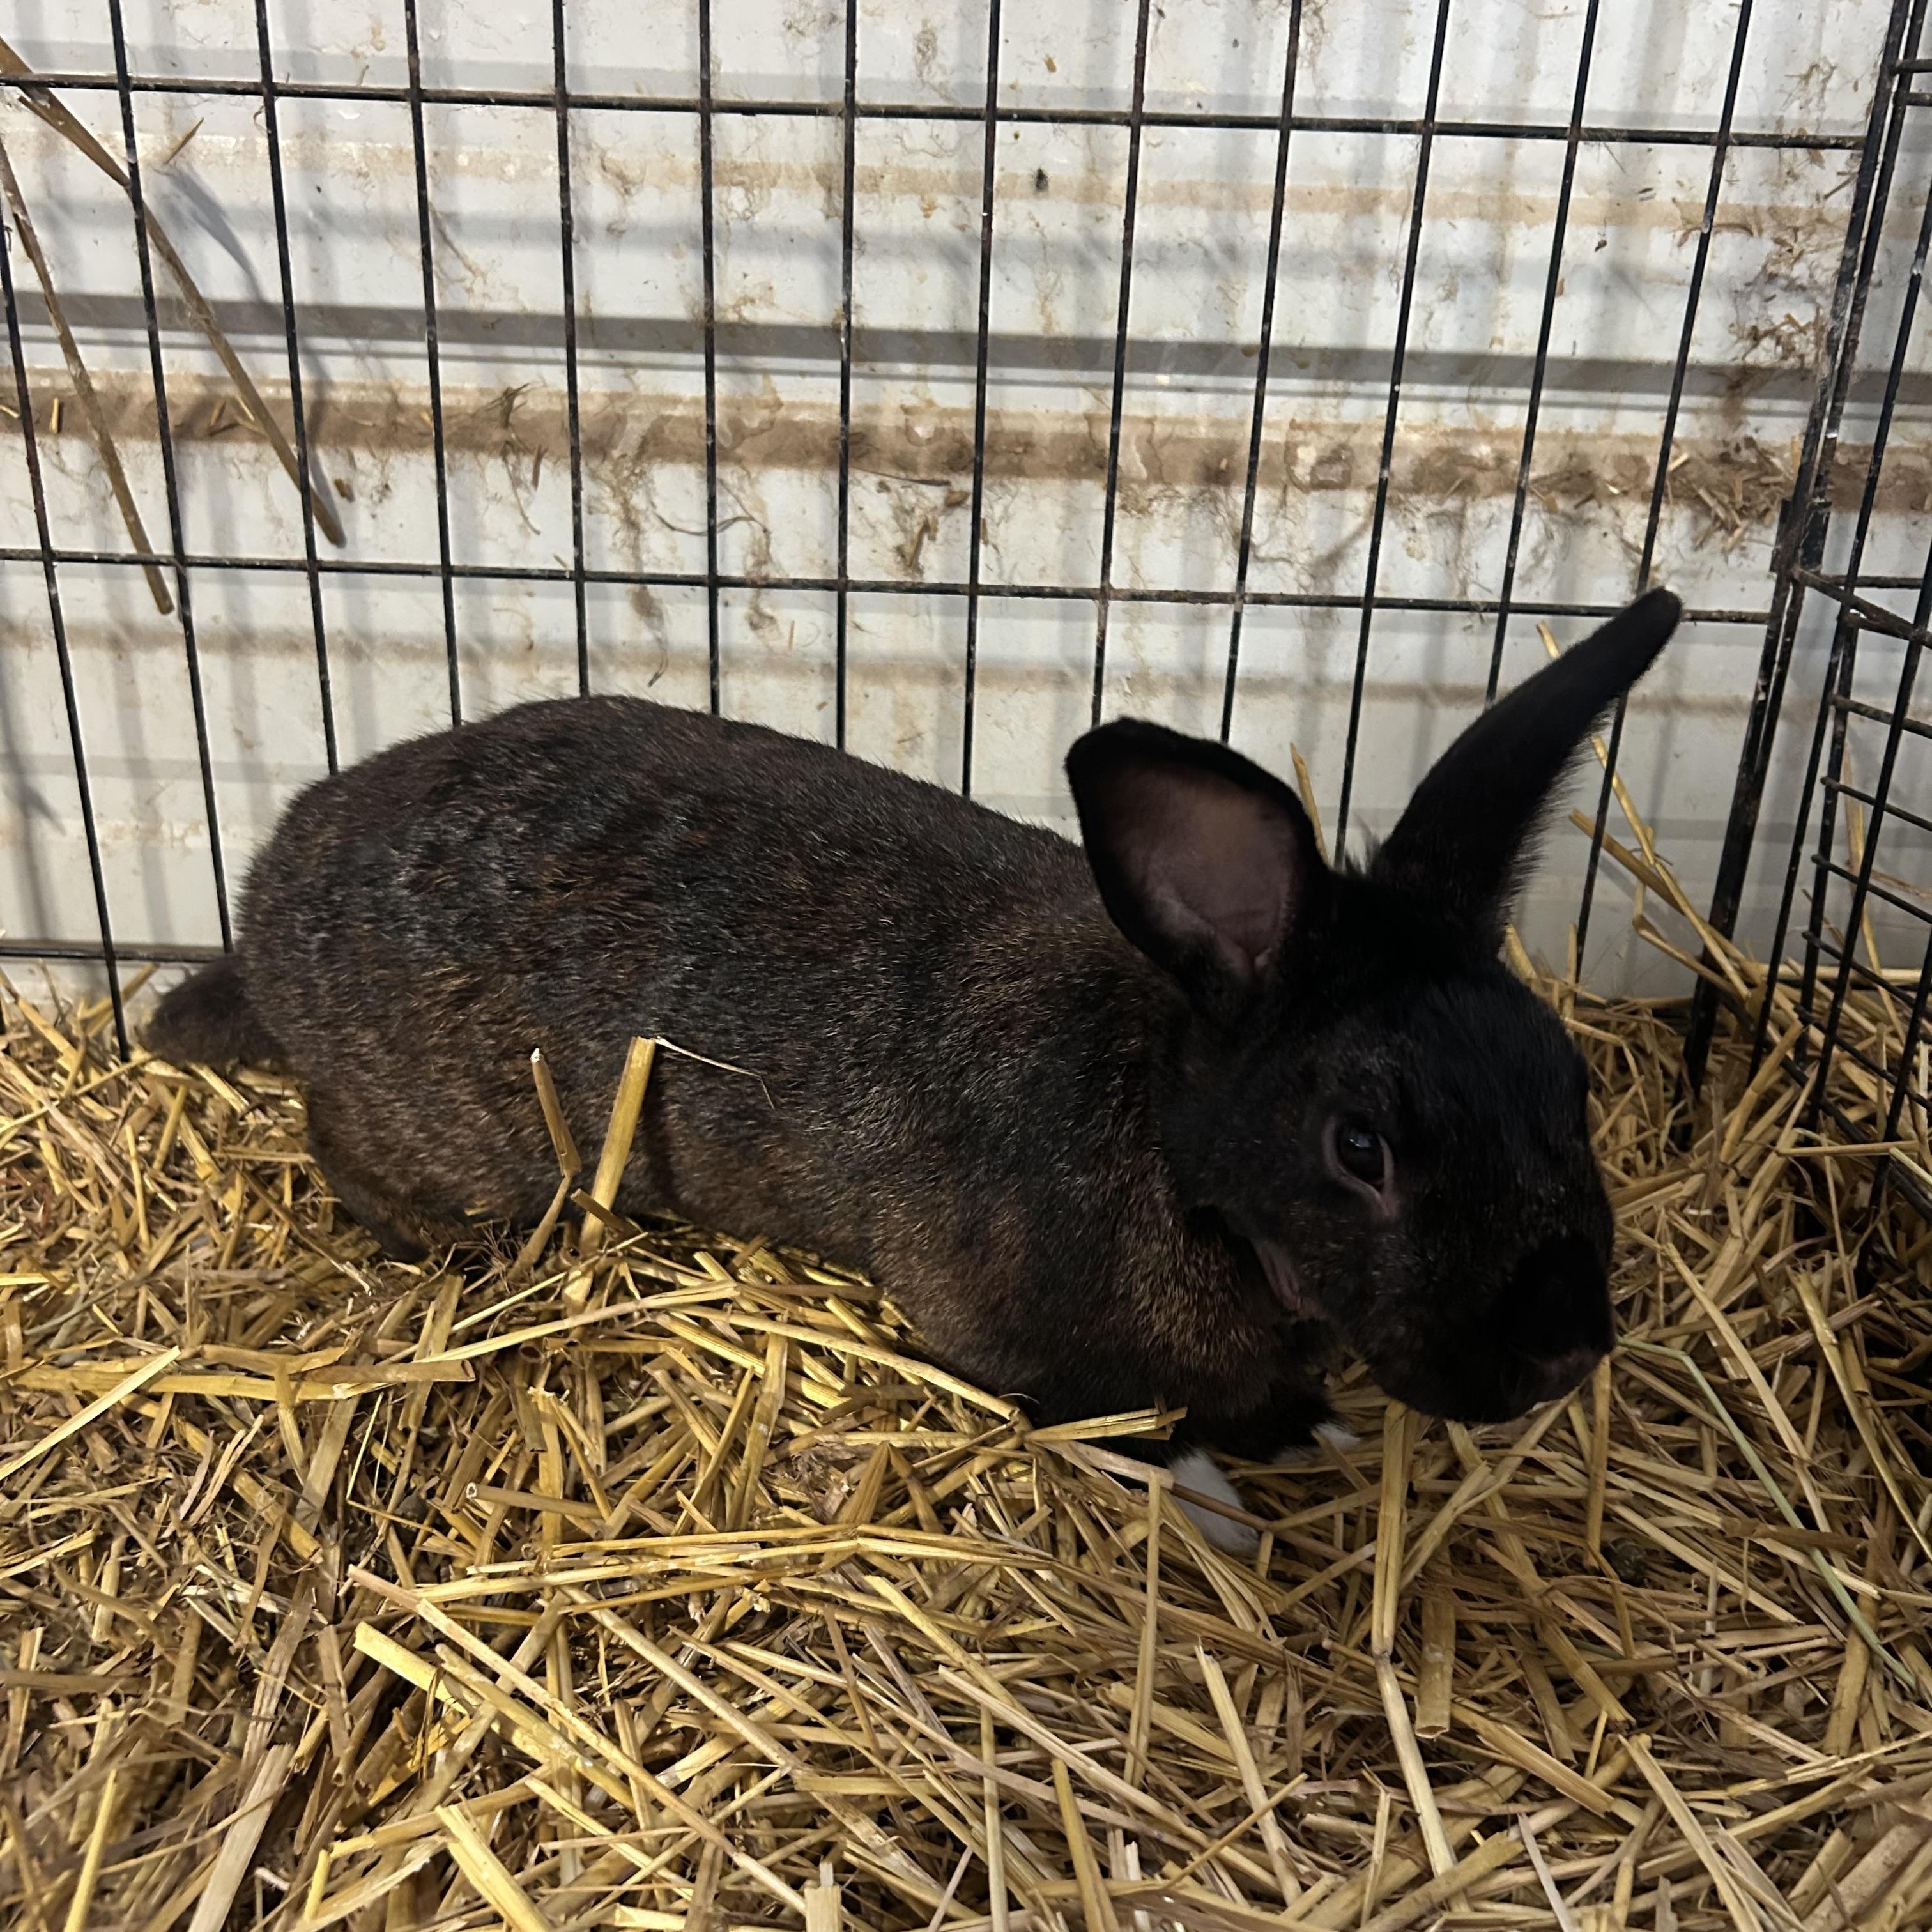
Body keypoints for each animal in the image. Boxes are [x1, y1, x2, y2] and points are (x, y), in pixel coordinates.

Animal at [146, 587, 1681, 1552]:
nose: (1566, 1351)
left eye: (1569, 1085)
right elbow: (1118, 1419)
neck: (1177, 1162)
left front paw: (1312, 1433)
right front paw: (1217, 1506)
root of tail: (263, 904)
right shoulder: (995, 1329)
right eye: (1360, 1146)